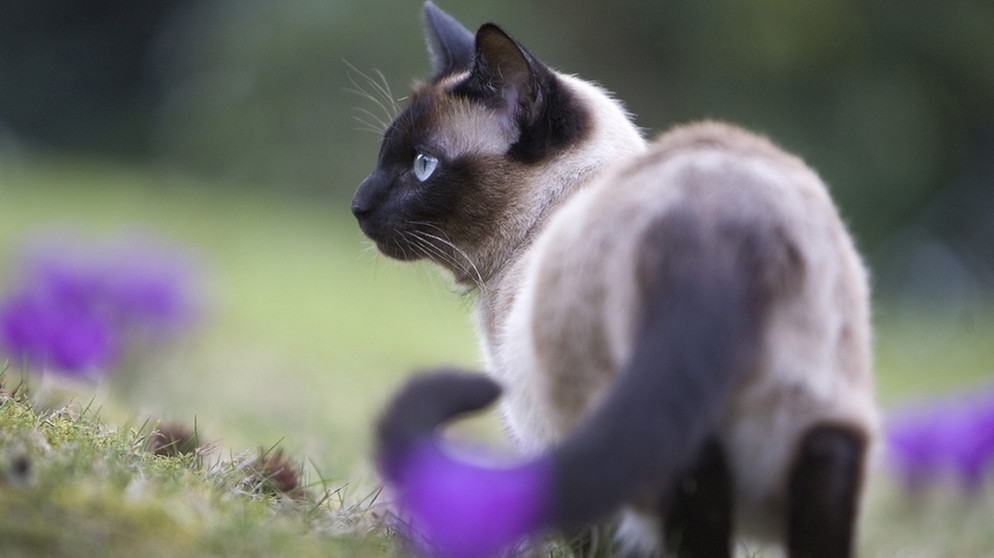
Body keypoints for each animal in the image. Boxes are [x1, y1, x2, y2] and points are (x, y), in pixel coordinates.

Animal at [350, 2, 876, 556]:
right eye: (385, 156)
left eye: (423, 165)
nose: (357, 205)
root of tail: (720, 223)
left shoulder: (547, 435)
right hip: (820, 428)